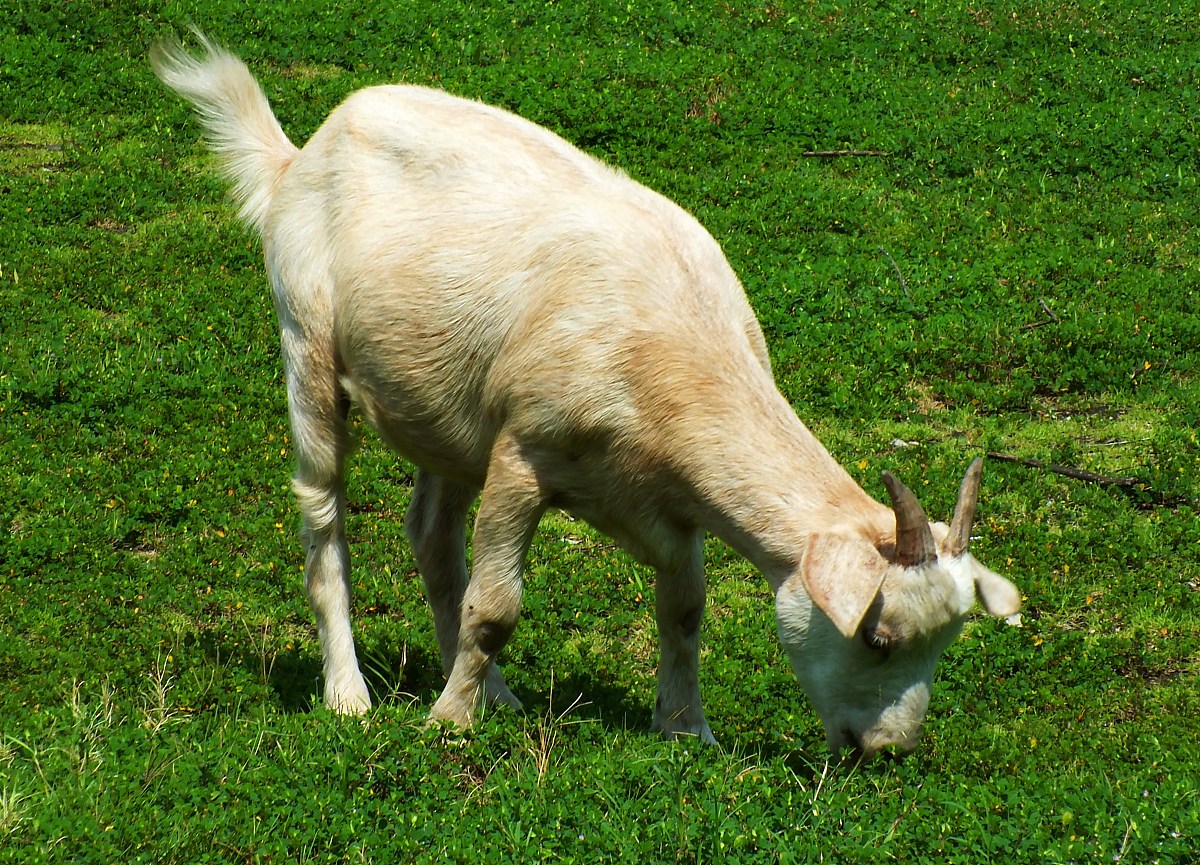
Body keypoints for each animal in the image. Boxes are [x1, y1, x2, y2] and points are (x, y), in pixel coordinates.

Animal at [147, 33, 1012, 758]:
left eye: (946, 640)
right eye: (878, 637)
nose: (885, 749)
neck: (669, 336)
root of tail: (301, 155)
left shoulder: (668, 498)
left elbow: (685, 609)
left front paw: (686, 728)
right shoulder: (524, 454)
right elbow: (496, 607)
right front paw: (447, 724)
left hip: (451, 416)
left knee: (431, 534)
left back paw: (496, 693)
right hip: (307, 338)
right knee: (324, 513)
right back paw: (351, 693)